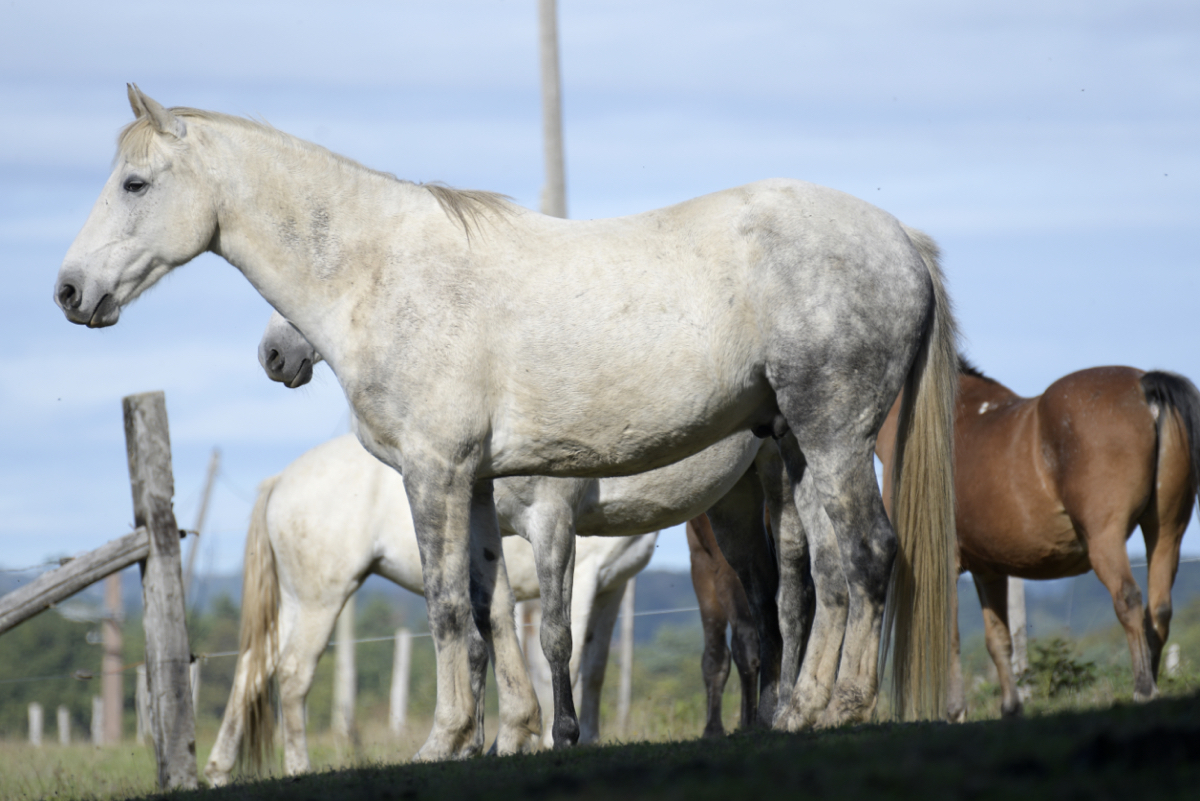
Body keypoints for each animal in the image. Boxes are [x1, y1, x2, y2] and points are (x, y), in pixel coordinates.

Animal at [206, 434, 657, 786]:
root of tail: (280, 480)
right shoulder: (581, 571)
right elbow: (564, 655)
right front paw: (553, 739)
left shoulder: (611, 586)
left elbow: (594, 667)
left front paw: (588, 738)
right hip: (322, 597)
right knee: (294, 672)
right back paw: (298, 768)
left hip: (296, 600)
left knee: (252, 667)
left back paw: (218, 770)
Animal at [873, 359, 1200, 714]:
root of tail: (1144, 385)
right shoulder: (988, 570)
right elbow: (998, 639)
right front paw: (1010, 707)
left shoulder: (944, 563)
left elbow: (949, 636)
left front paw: (955, 710)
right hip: (1167, 532)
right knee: (1159, 608)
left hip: (1106, 539)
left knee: (1128, 599)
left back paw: (1144, 687)